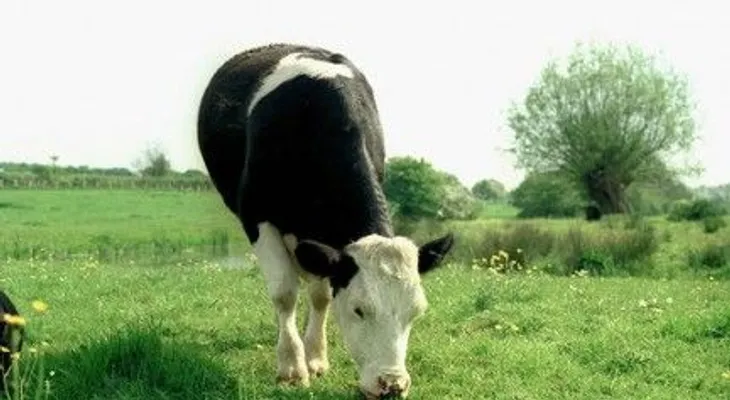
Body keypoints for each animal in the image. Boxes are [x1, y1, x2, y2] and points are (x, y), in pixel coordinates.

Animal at [197, 43, 454, 399]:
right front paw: (292, 368)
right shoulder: (256, 215)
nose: (392, 384)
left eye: (416, 311)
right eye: (359, 309)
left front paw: (315, 358)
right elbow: (283, 292)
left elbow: (321, 295)